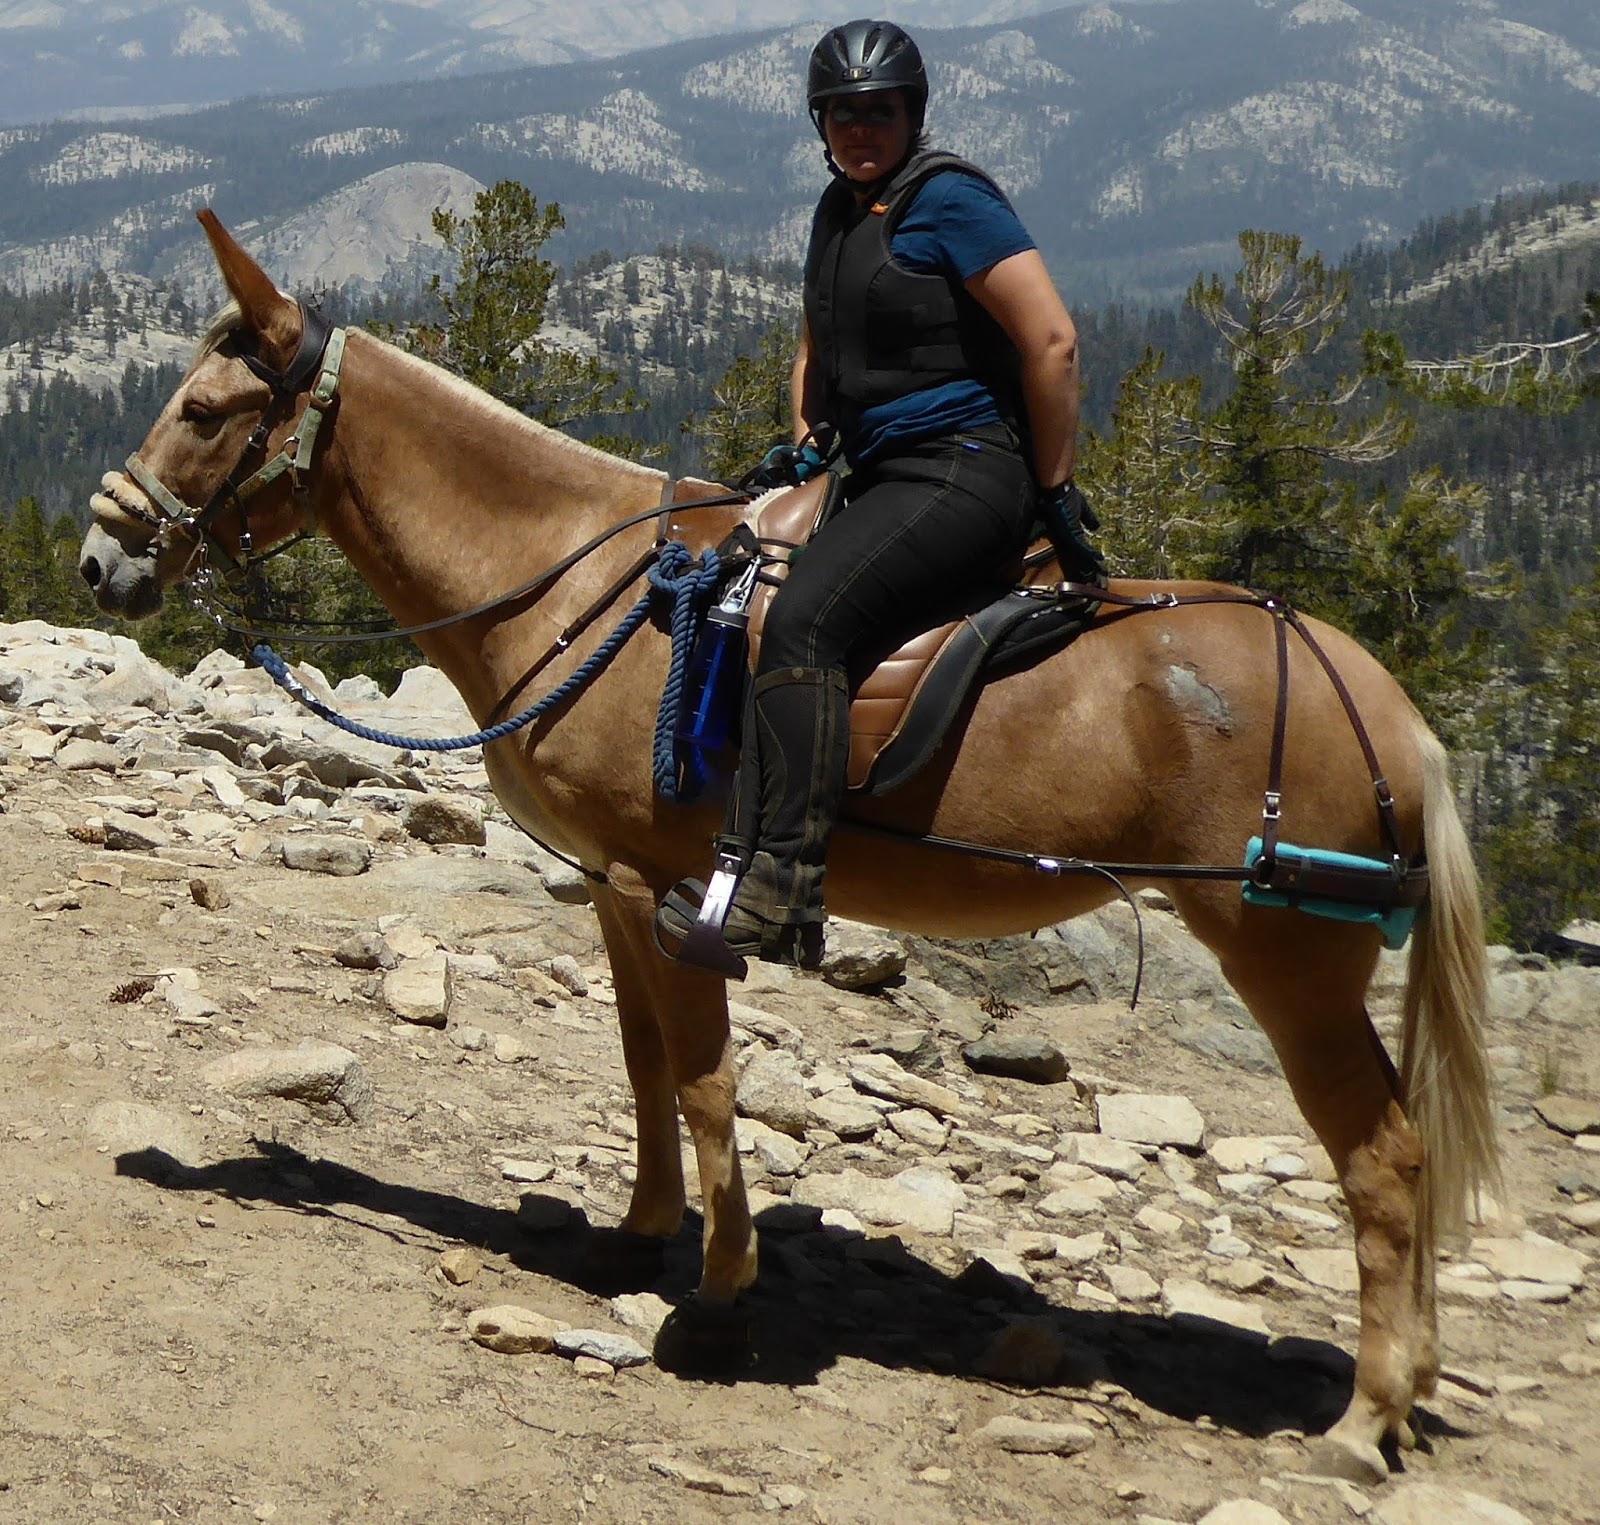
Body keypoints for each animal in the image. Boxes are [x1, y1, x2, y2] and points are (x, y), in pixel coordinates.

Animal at [78, 212, 1497, 1483]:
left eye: (202, 410)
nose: (100, 558)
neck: (572, 582)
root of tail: (1381, 703)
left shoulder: (680, 892)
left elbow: (707, 1081)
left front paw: (717, 1297)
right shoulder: (617, 890)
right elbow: (645, 1069)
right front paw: (638, 1233)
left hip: (1289, 956)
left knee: (1385, 1160)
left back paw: (1367, 1418)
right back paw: (1411, 1385)